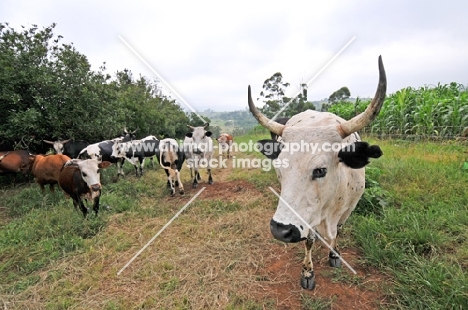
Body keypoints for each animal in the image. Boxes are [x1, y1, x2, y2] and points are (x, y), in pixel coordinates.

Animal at [250, 56, 386, 290]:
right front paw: (307, 272)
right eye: (280, 167)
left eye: (321, 170)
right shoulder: (308, 216)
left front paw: (334, 255)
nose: (280, 230)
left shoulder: (349, 208)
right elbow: (310, 240)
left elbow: (338, 232)